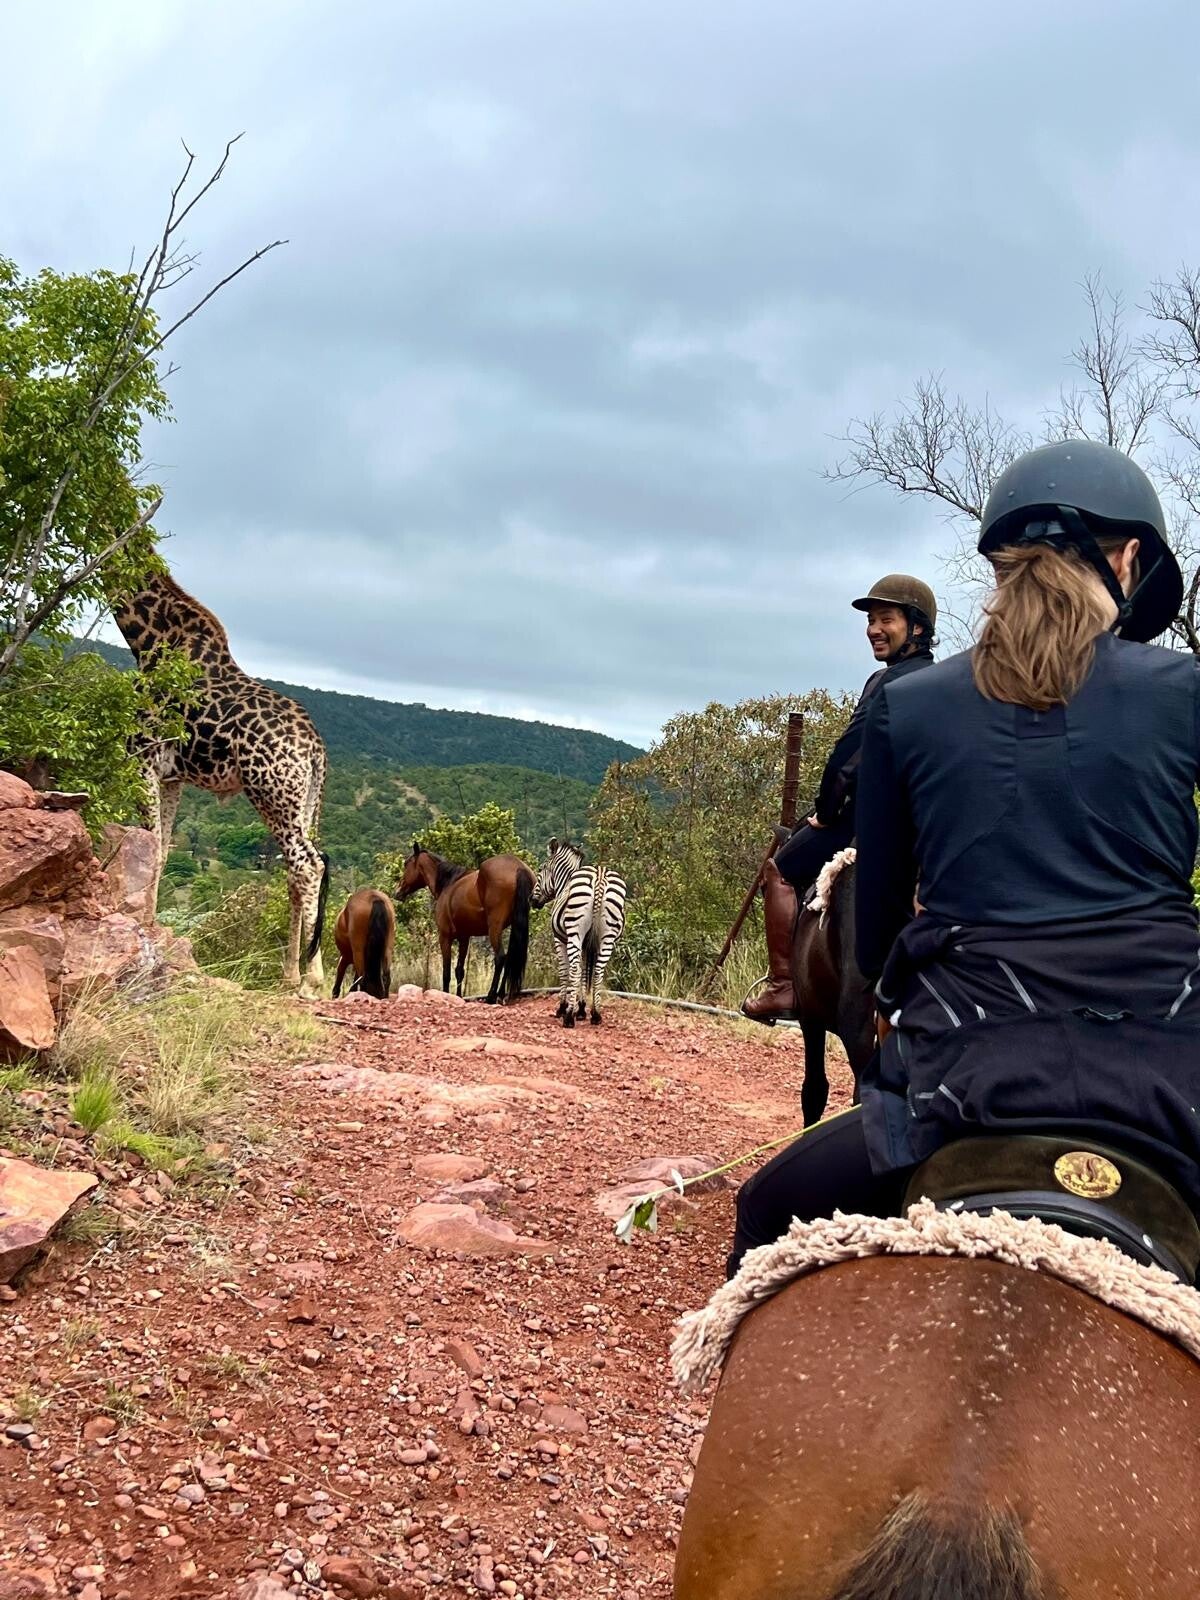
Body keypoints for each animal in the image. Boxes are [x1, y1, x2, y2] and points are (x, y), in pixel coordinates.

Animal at [108, 568, 330, 991]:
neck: (151, 643)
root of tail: (314, 750)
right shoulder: (172, 777)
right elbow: (162, 850)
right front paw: (153, 924)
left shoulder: (143, 759)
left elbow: (150, 842)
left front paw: (145, 926)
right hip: (304, 803)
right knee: (297, 871)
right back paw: (290, 974)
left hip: (271, 793)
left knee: (307, 866)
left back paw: (312, 980)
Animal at [396, 842, 533, 1002]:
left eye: (406, 864)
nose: (397, 891)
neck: (448, 884)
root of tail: (518, 868)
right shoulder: (464, 938)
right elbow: (459, 970)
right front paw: (458, 996)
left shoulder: (445, 937)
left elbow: (446, 972)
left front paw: (446, 995)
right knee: (510, 958)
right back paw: (500, 994)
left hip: (495, 928)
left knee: (500, 957)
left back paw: (491, 996)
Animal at [532, 838, 627, 1028]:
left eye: (540, 869)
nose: (532, 900)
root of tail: (600, 875)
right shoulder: (587, 945)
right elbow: (585, 973)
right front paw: (582, 1009)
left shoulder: (560, 940)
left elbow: (565, 971)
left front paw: (564, 1007)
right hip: (607, 938)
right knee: (598, 971)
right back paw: (596, 1014)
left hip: (575, 933)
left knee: (574, 969)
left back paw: (568, 1017)